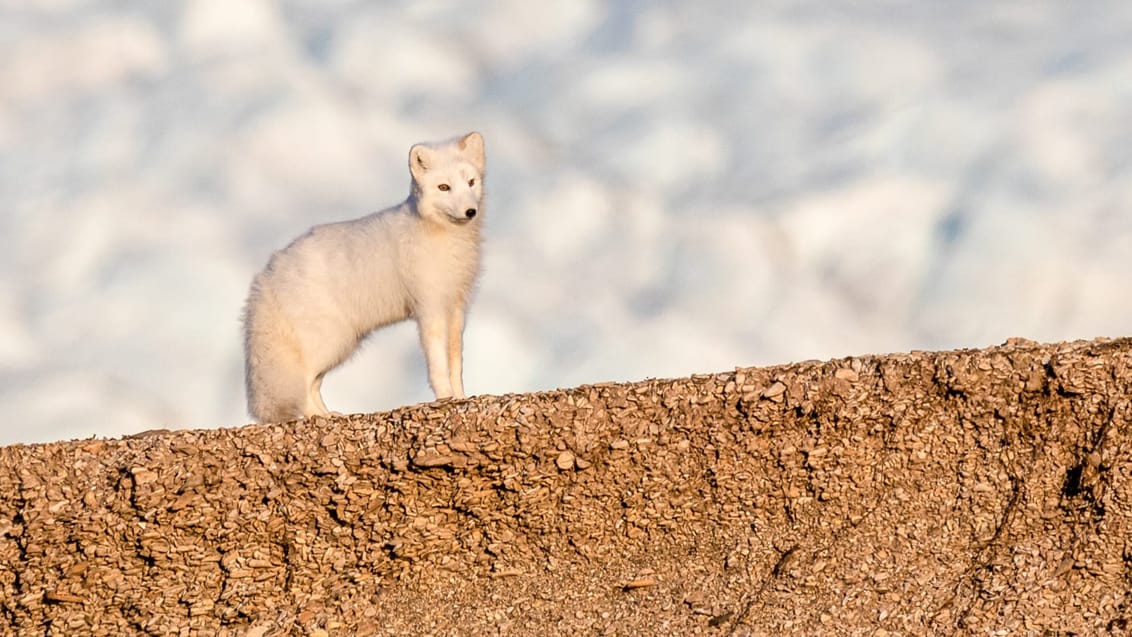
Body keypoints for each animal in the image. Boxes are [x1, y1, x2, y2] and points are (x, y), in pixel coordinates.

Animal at [243, 131, 482, 420]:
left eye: (471, 182)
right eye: (444, 187)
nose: (470, 211)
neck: (443, 235)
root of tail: (268, 273)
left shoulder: (456, 307)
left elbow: (456, 363)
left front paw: (461, 397)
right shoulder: (430, 309)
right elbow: (437, 365)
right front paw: (446, 397)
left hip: (339, 346)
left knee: (312, 385)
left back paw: (329, 416)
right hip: (329, 343)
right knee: (304, 385)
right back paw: (322, 417)